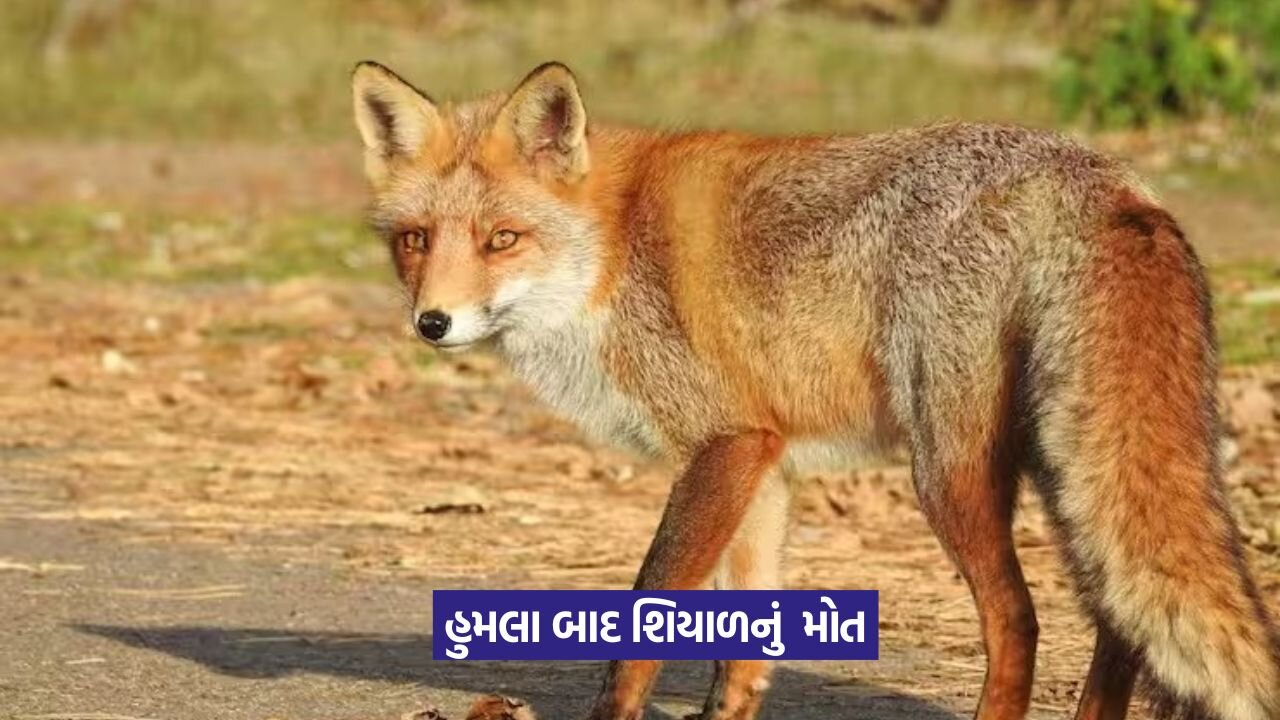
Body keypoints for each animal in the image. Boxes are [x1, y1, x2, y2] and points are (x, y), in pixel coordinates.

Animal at [350, 60, 1280, 720]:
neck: (613, 251)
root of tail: (1096, 175)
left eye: (502, 239)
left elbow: (644, 620)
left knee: (1021, 621)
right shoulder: (763, 464)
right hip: (1067, 465)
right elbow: (740, 648)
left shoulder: (724, 445)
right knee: (1120, 624)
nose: (432, 323)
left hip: (950, 471)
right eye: (415, 240)